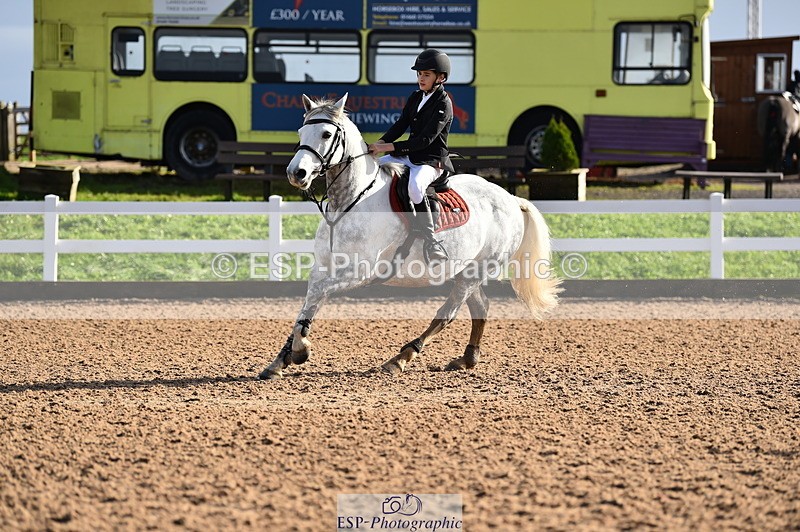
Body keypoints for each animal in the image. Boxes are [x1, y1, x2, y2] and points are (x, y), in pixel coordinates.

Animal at [258, 93, 561, 379]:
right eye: (301, 132)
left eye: (326, 134)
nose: (296, 173)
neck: (350, 201)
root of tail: (511, 198)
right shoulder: (323, 268)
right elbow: (308, 303)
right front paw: (281, 360)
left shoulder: (359, 272)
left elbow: (317, 295)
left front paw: (300, 351)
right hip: (466, 270)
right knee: (480, 307)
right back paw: (467, 359)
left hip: (477, 271)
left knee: (447, 314)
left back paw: (400, 359)